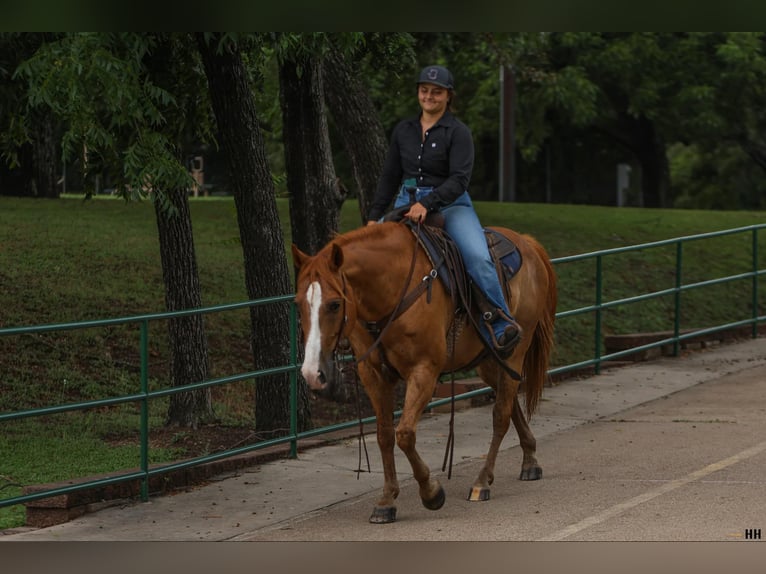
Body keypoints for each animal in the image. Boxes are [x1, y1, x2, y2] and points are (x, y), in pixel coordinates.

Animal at [291, 220, 557, 523]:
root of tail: (526, 242)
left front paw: (431, 492)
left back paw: (482, 481)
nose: (312, 373)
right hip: (489, 362)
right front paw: (387, 500)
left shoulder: (424, 371)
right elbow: (384, 435)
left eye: (335, 304)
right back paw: (529, 459)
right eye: (298, 303)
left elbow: (405, 434)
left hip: (515, 352)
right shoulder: (372, 374)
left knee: (500, 414)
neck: (391, 291)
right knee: (509, 402)